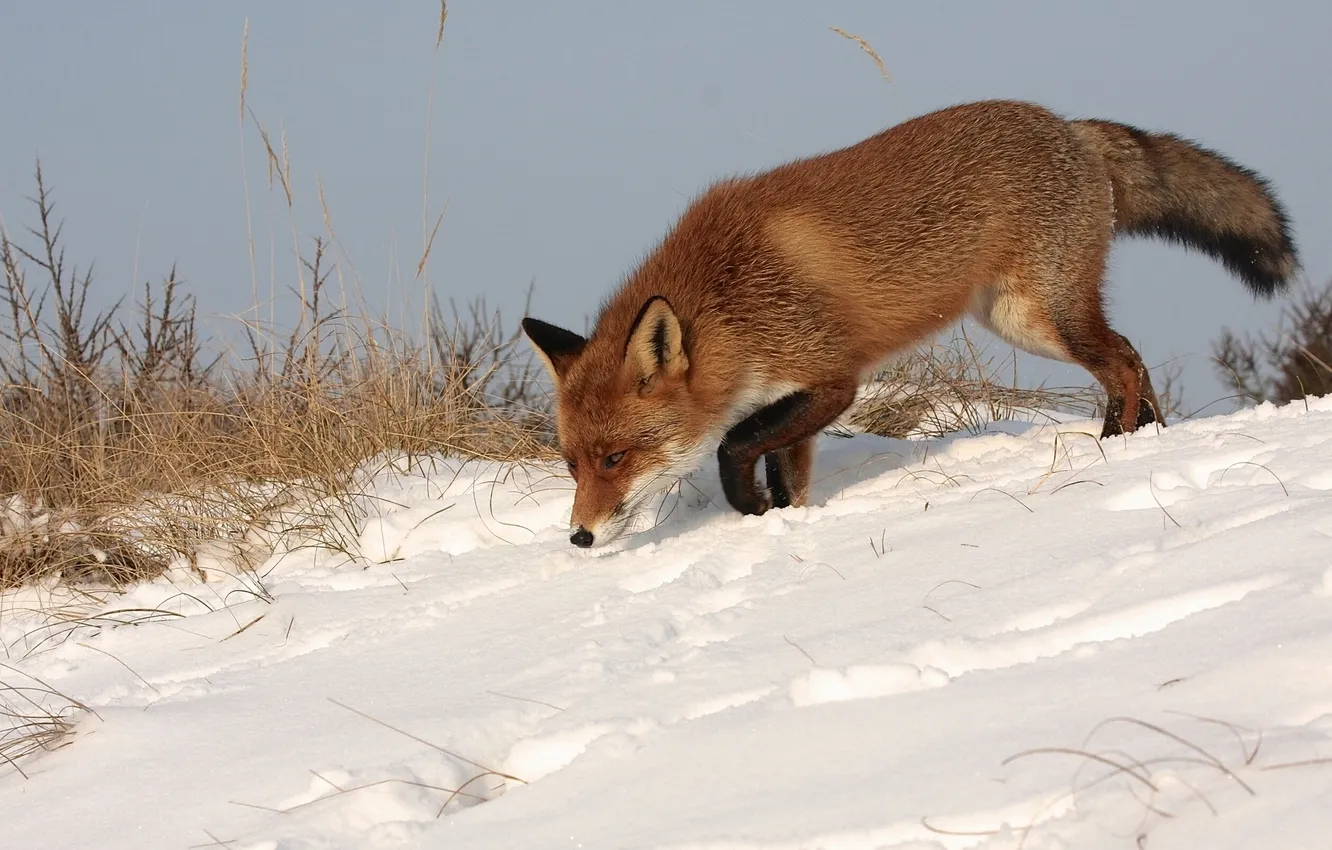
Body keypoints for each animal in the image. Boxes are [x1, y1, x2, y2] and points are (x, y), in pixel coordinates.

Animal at [521, 99, 1299, 549]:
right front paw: (778, 520)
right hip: (1020, 320)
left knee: (1122, 364)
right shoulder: (790, 401)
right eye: (572, 464)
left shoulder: (832, 380)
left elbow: (734, 445)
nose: (579, 537)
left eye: (615, 459)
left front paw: (748, 507)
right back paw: (1148, 439)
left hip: (1039, 317)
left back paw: (1114, 445)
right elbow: (785, 473)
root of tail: (1068, 125)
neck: (731, 301)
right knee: (1131, 353)